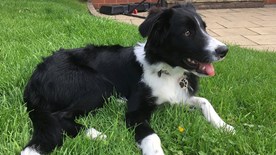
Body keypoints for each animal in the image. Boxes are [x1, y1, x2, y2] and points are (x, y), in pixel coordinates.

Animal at [20, 3, 234, 155]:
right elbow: (152, 137)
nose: (224, 50)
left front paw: (224, 126)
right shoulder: (135, 113)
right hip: (98, 85)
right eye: (187, 32)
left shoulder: (178, 97)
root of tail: (34, 79)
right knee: (59, 116)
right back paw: (94, 133)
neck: (166, 71)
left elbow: (204, 101)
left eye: (204, 28)